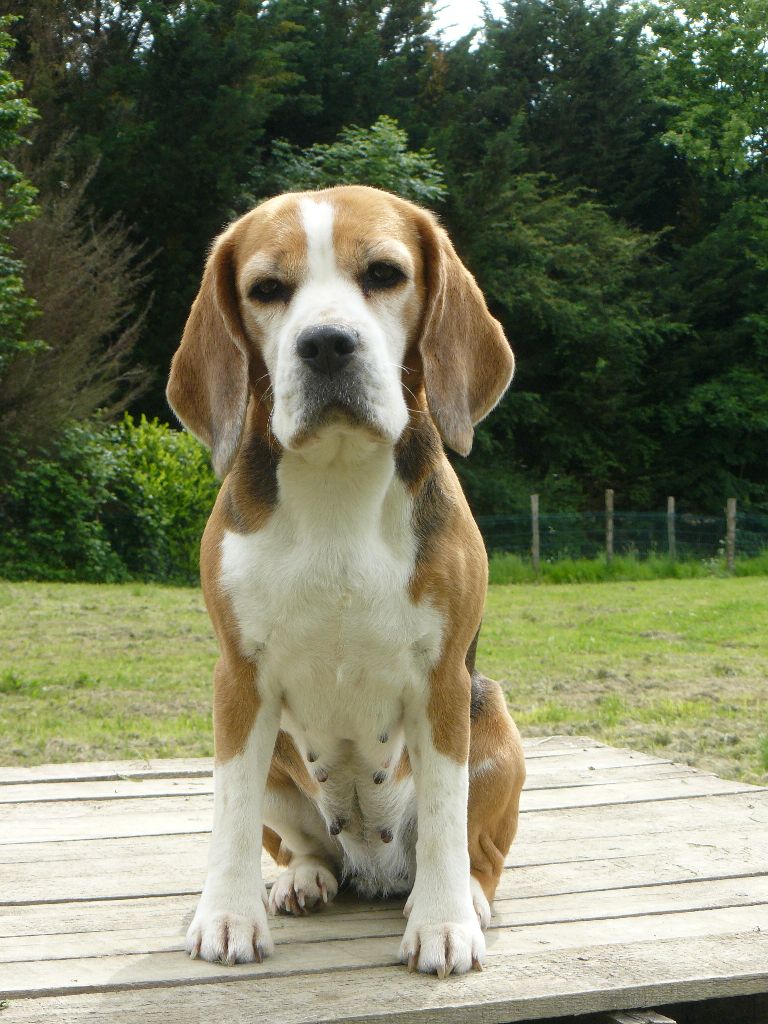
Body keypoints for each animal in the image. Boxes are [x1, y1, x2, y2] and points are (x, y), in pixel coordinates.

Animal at [167, 185, 525, 978]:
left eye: (385, 274)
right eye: (267, 289)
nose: (326, 343)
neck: (335, 476)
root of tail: (373, 864)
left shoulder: (444, 681)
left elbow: (448, 819)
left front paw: (444, 923)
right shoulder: (238, 680)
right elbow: (230, 814)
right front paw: (228, 915)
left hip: (493, 724)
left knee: (477, 850)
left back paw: (462, 896)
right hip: (279, 760)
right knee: (304, 845)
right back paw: (302, 878)